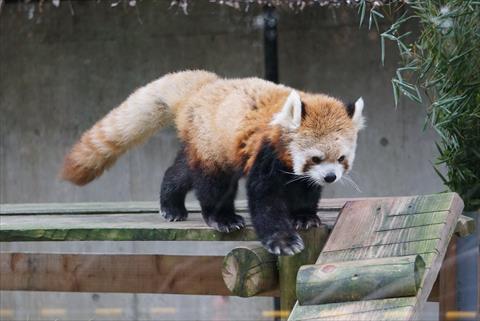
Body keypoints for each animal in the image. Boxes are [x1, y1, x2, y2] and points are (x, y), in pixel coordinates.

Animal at [62, 70, 366, 255]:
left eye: (341, 159)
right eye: (316, 158)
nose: (330, 177)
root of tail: (203, 88)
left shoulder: (296, 171)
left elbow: (304, 189)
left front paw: (304, 216)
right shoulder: (265, 153)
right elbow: (264, 198)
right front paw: (282, 240)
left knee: (182, 170)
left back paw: (171, 202)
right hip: (212, 144)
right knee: (212, 182)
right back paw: (221, 218)